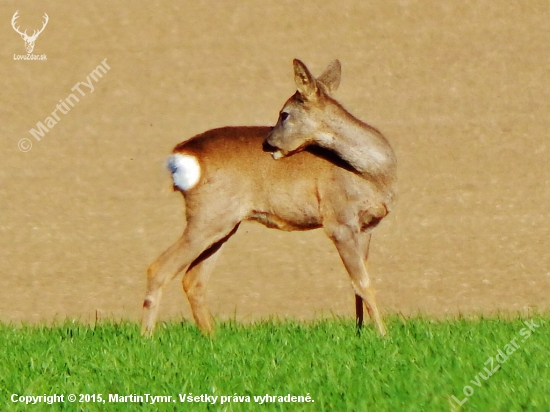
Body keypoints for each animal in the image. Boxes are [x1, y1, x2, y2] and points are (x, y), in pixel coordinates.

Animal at [141, 59, 396, 336]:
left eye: (284, 114)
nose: (268, 143)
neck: (372, 172)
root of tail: (181, 155)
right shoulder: (339, 221)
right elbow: (363, 282)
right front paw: (383, 337)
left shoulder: (367, 226)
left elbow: (357, 286)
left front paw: (361, 333)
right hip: (208, 217)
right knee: (159, 268)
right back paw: (147, 338)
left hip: (223, 223)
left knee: (193, 280)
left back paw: (212, 338)